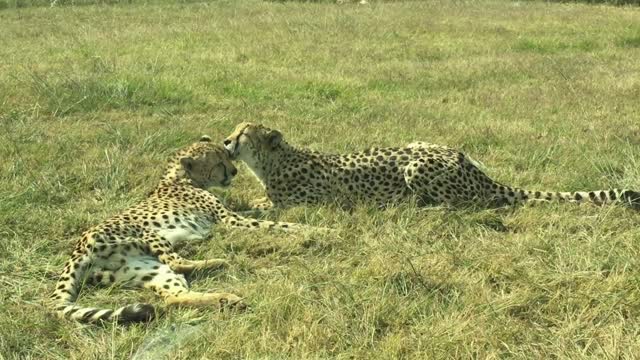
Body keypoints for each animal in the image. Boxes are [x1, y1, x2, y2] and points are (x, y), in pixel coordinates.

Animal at [51, 134, 308, 324]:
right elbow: (272, 223)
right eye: (218, 163)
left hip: (144, 268)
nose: (234, 172)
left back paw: (226, 299)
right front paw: (311, 229)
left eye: (227, 156)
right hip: (146, 233)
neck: (180, 178)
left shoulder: (230, 215)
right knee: (177, 262)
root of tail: (77, 248)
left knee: (175, 297)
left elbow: (258, 213)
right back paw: (219, 262)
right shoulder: (228, 220)